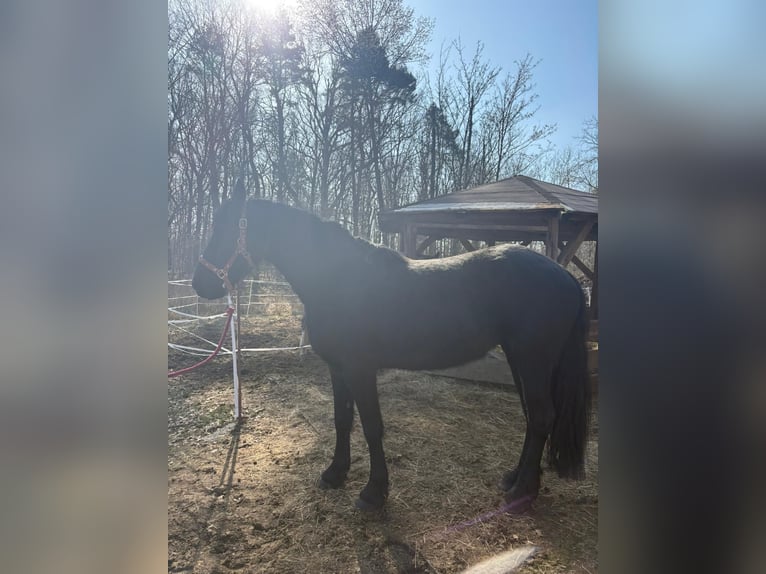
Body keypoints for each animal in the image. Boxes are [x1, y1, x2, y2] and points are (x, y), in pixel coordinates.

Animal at [192, 188, 591, 512]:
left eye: (227, 228)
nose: (200, 284)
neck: (338, 280)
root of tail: (566, 277)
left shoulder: (360, 369)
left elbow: (372, 426)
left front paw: (373, 493)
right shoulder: (337, 369)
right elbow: (342, 420)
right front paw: (335, 473)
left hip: (533, 359)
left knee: (541, 417)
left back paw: (522, 494)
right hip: (520, 358)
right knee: (533, 417)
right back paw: (515, 479)